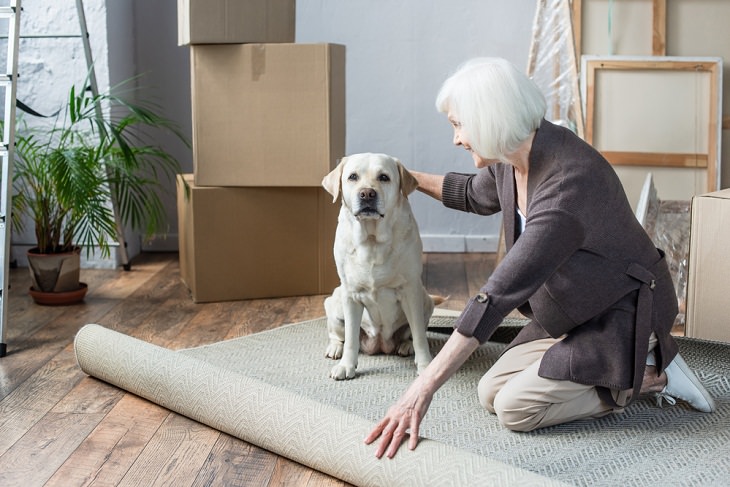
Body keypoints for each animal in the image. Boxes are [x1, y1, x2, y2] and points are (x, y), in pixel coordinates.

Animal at [322, 153, 436, 382]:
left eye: (384, 177)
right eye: (353, 177)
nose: (367, 194)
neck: (372, 240)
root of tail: (381, 345)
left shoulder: (411, 290)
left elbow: (419, 335)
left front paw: (425, 365)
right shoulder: (350, 295)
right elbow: (350, 339)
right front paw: (346, 366)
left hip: (426, 300)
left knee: (412, 332)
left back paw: (405, 345)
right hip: (334, 302)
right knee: (338, 334)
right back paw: (335, 348)